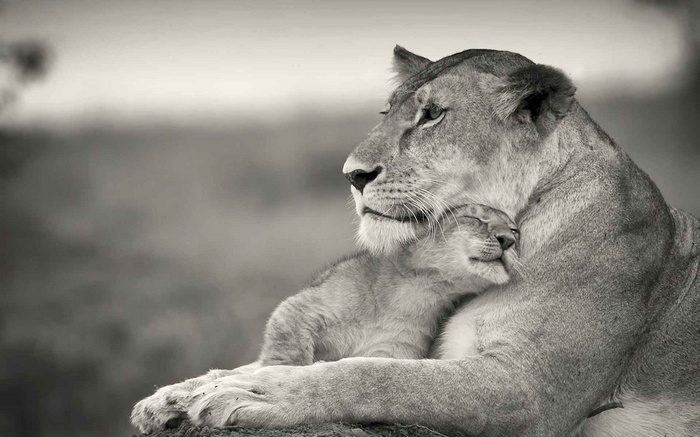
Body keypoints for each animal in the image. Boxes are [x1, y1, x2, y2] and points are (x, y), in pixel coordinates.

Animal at [131, 47, 700, 436]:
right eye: (387, 114)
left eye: (432, 115)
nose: (352, 175)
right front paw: (177, 395)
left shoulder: (531, 390)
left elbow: (379, 376)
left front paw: (257, 392)